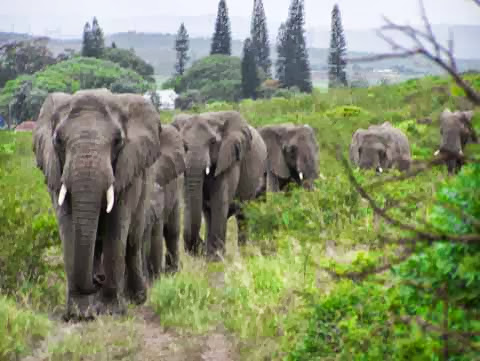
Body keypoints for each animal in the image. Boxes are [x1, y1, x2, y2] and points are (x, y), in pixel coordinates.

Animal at [171, 109, 268, 258]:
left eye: (212, 142)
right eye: (183, 145)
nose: (200, 244)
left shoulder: (229, 157)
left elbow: (219, 201)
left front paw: (217, 259)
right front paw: (211, 257)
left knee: (243, 216)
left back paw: (242, 255)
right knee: (208, 214)